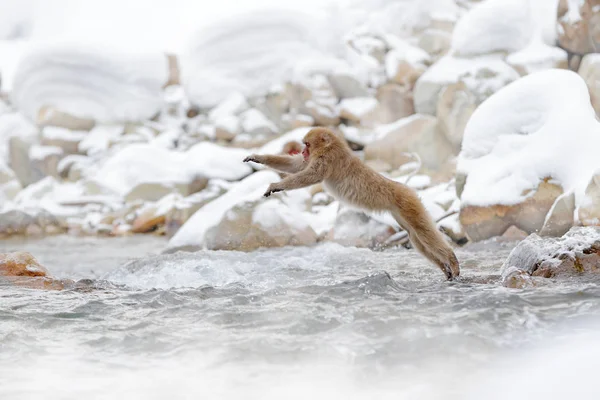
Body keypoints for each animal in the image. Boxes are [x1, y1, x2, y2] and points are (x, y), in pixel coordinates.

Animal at [244, 126, 460, 280]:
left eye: (307, 144)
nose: (304, 152)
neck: (332, 146)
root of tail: (404, 188)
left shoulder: (327, 159)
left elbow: (310, 176)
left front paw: (276, 184)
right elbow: (297, 166)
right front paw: (258, 157)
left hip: (409, 204)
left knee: (423, 232)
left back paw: (452, 259)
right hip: (400, 213)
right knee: (416, 236)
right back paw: (445, 269)